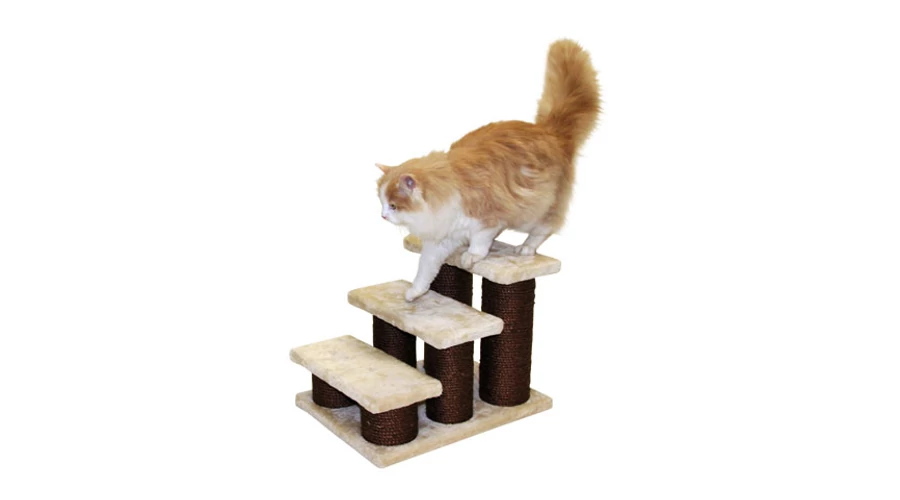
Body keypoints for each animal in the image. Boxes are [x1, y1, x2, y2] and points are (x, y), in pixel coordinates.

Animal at [376, 39, 601, 301]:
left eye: (393, 205)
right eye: (382, 204)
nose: (383, 215)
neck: (446, 191)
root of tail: (550, 132)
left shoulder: (488, 217)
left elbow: (480, 242)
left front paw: (472, 256)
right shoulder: (440, 240)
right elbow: (425, 270)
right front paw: (414, 294)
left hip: (532, 211)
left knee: (546, 228)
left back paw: (525, 248)